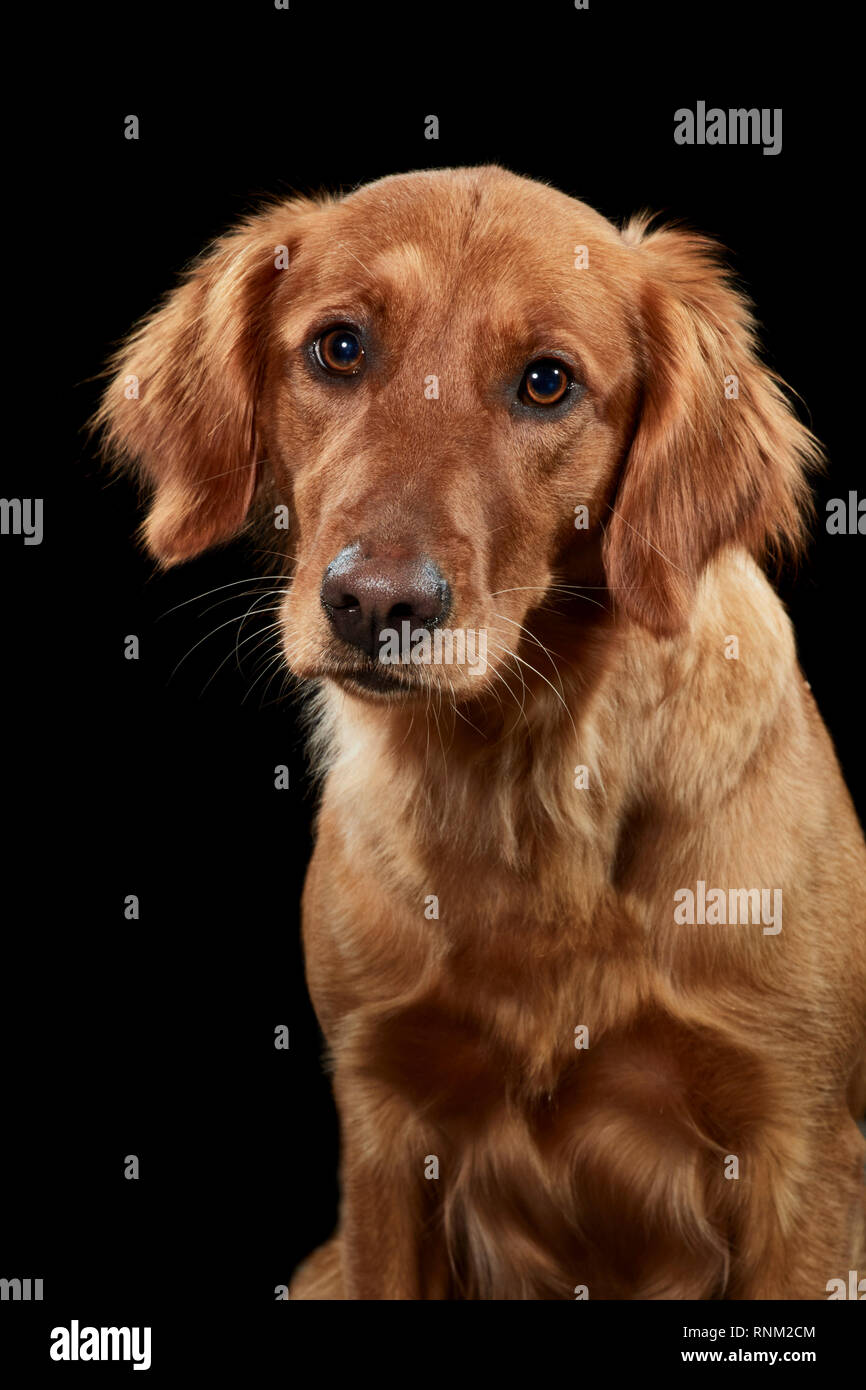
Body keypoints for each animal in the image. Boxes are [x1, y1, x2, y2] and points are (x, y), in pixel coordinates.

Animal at [96, 165, 866, 1301]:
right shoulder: (383, 1130)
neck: (520, 770)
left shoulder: (800, 1145)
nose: (376, 604)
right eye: (338, 347)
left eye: (546, 382)